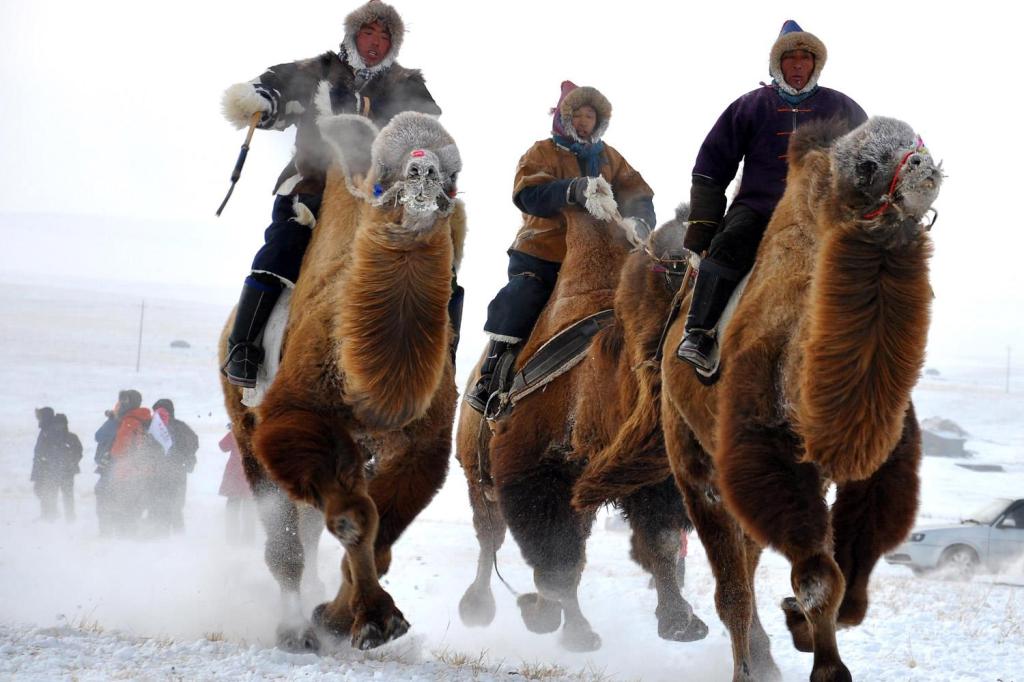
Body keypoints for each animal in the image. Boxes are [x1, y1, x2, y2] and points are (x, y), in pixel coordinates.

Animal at [220, 108, 466, 652]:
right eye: (381, 178)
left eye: (454, 178)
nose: (423, 170)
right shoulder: (295, 417)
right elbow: (355, 520)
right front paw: (372, 618)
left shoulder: (422, 444)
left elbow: (382, 533)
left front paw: (340, 618)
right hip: (245, 428)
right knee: (285, 543)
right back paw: (293, 631)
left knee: (310, 530)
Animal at [455, 205, 709, 651]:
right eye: (680, 268)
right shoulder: (533, 470)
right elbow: (558, 562)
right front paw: (568, 629)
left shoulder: (643, 477)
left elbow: (660, 541)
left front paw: (681, 622)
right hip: (476, 471)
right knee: (490, 537)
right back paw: (478, 607)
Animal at [578, 116, 940, 682]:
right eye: (867, 164)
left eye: (914, 142)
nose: (924, 167)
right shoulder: (766, 455)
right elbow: (819, 578)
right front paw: (826, 666)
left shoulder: (880, 461)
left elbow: (852, 578)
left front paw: (800, 625)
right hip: (693, 457)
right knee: (732, 586)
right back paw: (747, 664)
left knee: (748, 565)